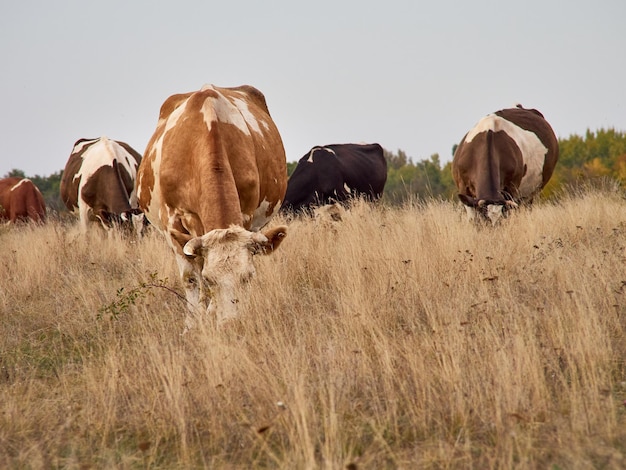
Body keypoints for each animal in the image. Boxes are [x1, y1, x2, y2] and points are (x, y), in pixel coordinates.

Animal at [136, 83, 288, 324]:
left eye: (248, 277)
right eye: (210, 279)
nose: (231, 323)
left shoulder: (246, 214)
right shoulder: (172, 218)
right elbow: (191, 276)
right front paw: (194, 321)